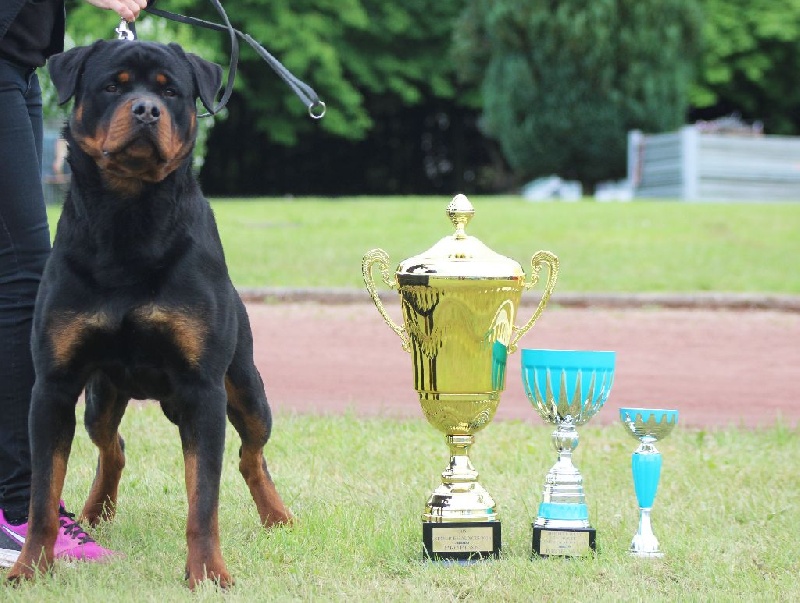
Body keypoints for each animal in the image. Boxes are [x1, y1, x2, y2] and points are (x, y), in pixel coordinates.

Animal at [4, 40, 292, 588]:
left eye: (170, 90)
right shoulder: (53, 385)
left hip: (246, 388)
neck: (129, 217)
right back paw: (95, 512)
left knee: (251, 454)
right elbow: (42, 496)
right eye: (112, 86)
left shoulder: (203, 388)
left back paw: (278, 516)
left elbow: (204, 500)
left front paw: (208, 574)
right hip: (100, 397)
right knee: (111, 445)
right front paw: (30, 569)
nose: (145, 110)